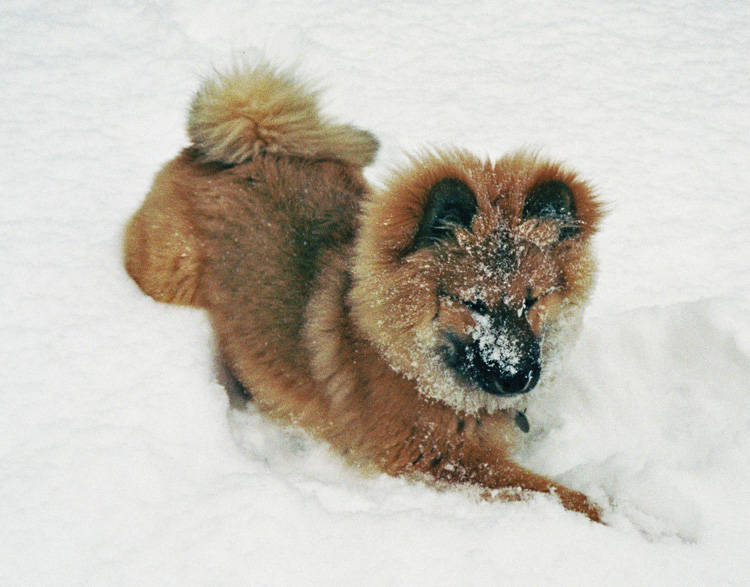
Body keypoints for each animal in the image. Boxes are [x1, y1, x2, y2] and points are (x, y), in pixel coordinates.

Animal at [123, 65, 604, 524]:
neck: (407, 358)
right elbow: (557, 493)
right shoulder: (437, 458)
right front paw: (609, 515)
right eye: (472, 303)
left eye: (532, 300)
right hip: (172, 276)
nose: (517, 378)